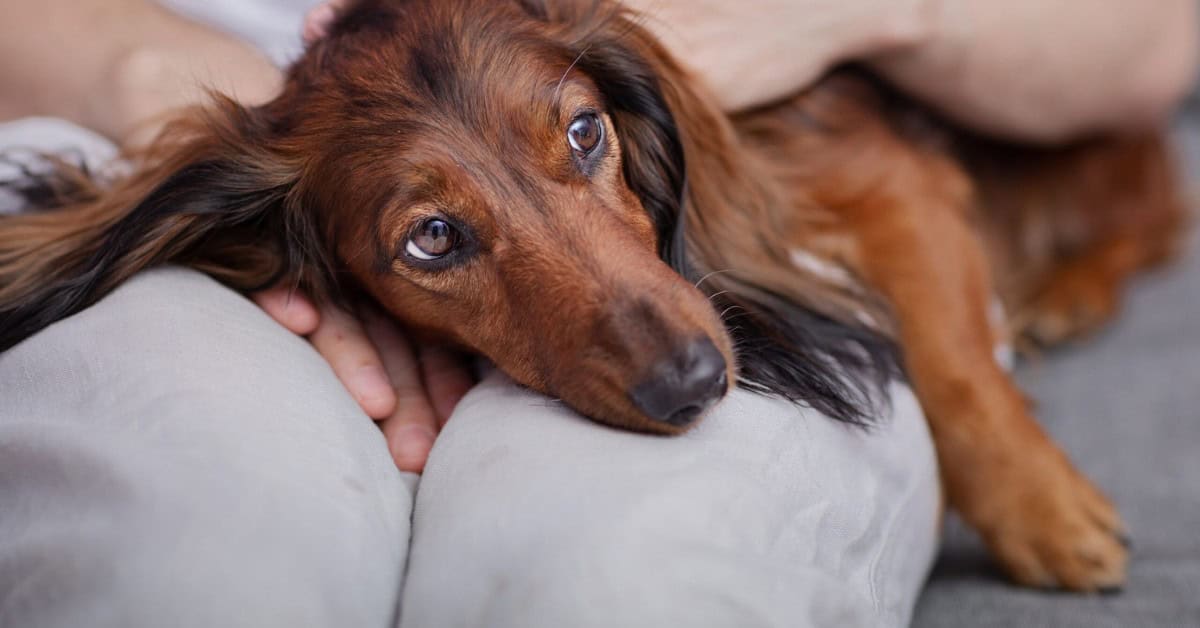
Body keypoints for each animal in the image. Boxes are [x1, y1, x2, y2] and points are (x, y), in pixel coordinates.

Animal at [0, 0, 1185, 593]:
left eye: (584, 133)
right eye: (433, 238)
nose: (694, 383)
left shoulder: (886, 177)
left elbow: (956, 367)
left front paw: (1044, 511)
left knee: (1158, 207)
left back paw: (1069, 291)